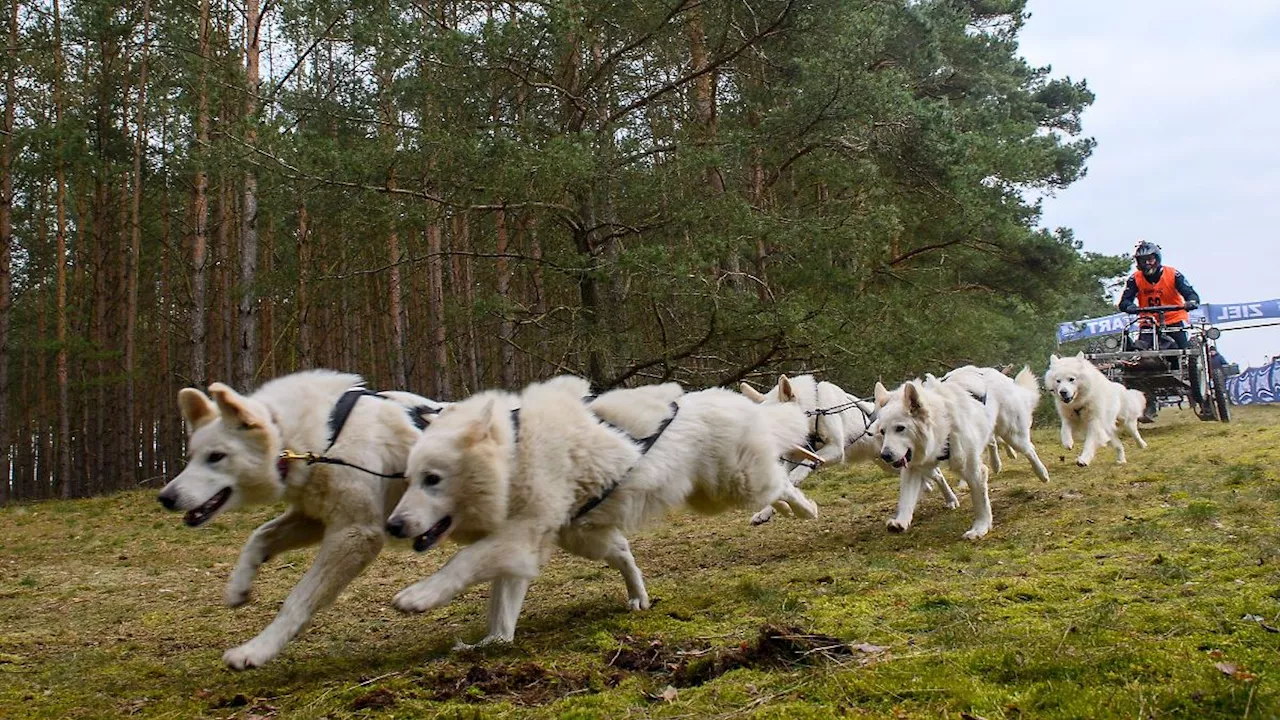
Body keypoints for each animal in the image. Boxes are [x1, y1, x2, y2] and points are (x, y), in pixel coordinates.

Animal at [156, 368, 445, 666]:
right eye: (191, 456)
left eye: (216, 456)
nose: (165, 498)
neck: (324, 441)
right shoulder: (313, 519)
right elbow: (259, 536)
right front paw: (238, 587)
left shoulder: (355, 533)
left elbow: (297, 599)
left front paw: (257, 649)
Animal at [381, 376, 819, 645]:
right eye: (410, 478)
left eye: (433, 479)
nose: (393, 526)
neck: (516, 455)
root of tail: (736, 402)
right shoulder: (523, 543)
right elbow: (502, 603)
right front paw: (494, 642)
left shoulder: (520, 535)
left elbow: (463, 563)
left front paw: (419, 596)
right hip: (592, 533)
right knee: (625, 554)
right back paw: (638, 597)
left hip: (732, 485)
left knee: (780, 483)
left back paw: (803, 509)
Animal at [737, 368, 957, 520]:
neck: (815, 409)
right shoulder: (793, 456)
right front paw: (764, 513)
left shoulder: (834, 450)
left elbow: (799, 472)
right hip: (889, 464)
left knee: (937, 475)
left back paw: (950, 500)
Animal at [870, 376, 998, 538]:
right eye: (882, 431)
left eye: (900, 428)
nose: (885, 455)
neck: (940, 429)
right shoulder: (913, 467)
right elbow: (906, 498)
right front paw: (901, 522)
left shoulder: (973, 470)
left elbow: (979, 500)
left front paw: (980, 528)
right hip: (927, 466)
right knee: (938, 476)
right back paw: (951, 499)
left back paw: (998, 464)